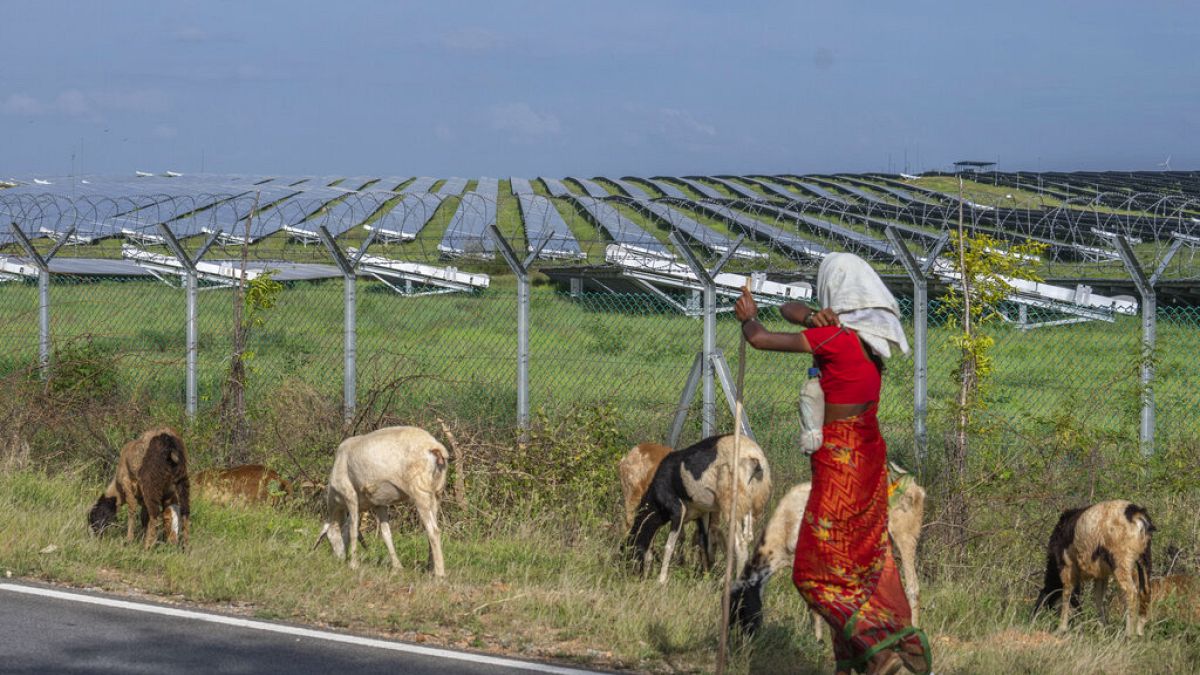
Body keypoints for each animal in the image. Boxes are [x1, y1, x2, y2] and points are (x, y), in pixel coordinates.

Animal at [316, 425, 448, 571]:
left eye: (328, 539)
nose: (338, 560)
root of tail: (434, 446)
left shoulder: (350, 495)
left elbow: (352, 530)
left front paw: (353, 564)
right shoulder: (379, 504)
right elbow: (386, 534)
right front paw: (397, 567)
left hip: (420, 490)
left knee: (433, 531)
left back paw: (439, 572)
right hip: (436, 492)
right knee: (433, 529)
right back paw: (431, 567)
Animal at [724, 461, 921, 634]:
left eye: (740, 606)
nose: (739, 637)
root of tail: (915, 486)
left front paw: (817, 638)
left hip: (904, 536)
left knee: (913, 586)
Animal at [1032, 497, 1152, 634]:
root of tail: (1136, 514)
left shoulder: (1067, 567)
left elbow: (1067, 593)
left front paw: (1061, 628)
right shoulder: (1101, 575)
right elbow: (1098, 599)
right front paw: (1103, 628)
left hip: (1121, 562)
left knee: (1131, 592)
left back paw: (1128, 634)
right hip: (1144, 559)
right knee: (1145, 591)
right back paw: (1139, 633)